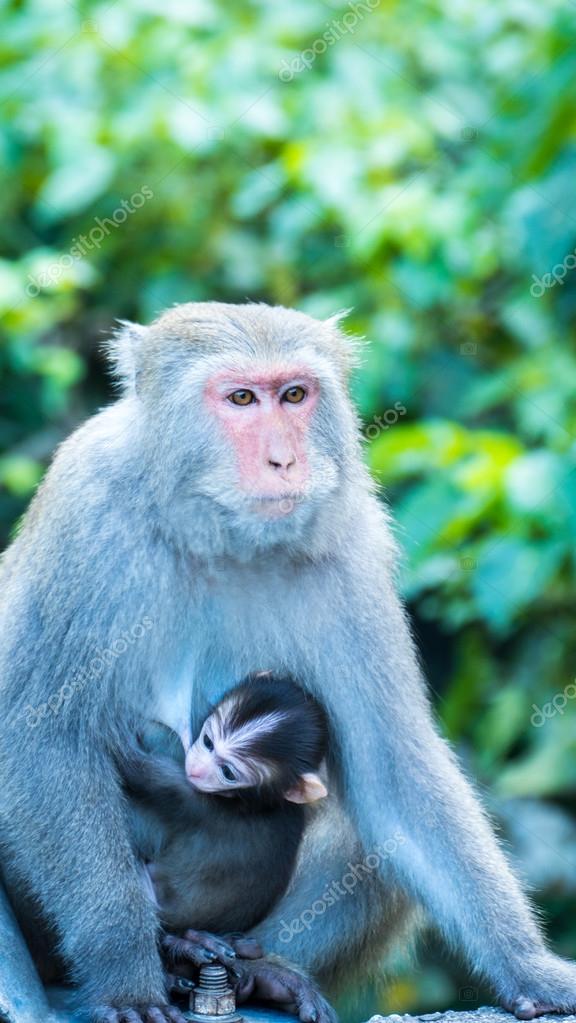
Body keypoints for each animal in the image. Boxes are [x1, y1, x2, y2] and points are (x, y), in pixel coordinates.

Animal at [1, 302, 576, 1023]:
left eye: (296, 395)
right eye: (243, 398)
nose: (285, 460)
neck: (217, 535)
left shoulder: (352, 542)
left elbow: (394, 773)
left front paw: (532, 968)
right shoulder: (87, 514)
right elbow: (42, 736)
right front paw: (124, 976)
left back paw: (250, 969)